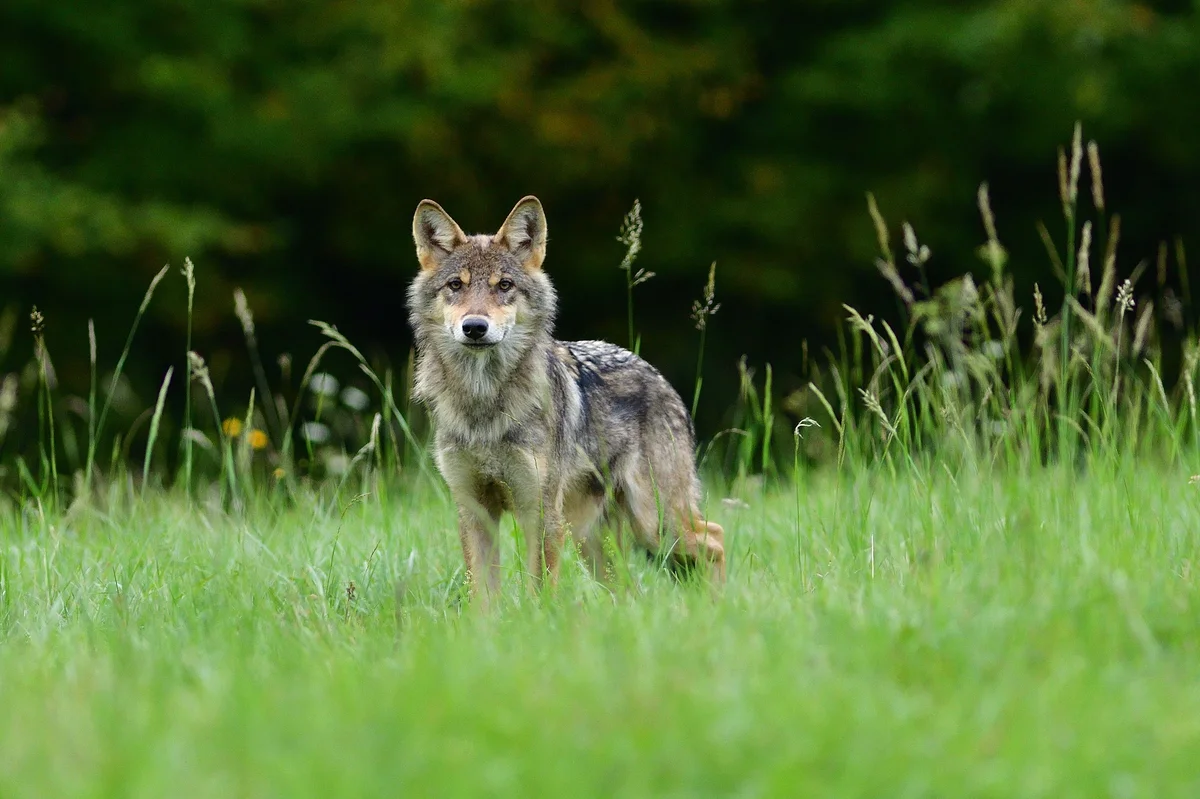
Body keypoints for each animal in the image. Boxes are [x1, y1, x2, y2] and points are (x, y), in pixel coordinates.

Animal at [407, 195, 724, 605]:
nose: (474, 327)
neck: (484, 404)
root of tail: (659, 377)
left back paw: (720, 606)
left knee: (715, 538)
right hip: (592, 537)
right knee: (631, 588)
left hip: (653, 522)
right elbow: (483, 600)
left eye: (504, 285)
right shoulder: (475, 510)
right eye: (455, 285)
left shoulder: (539, 511)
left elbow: (539, 588)